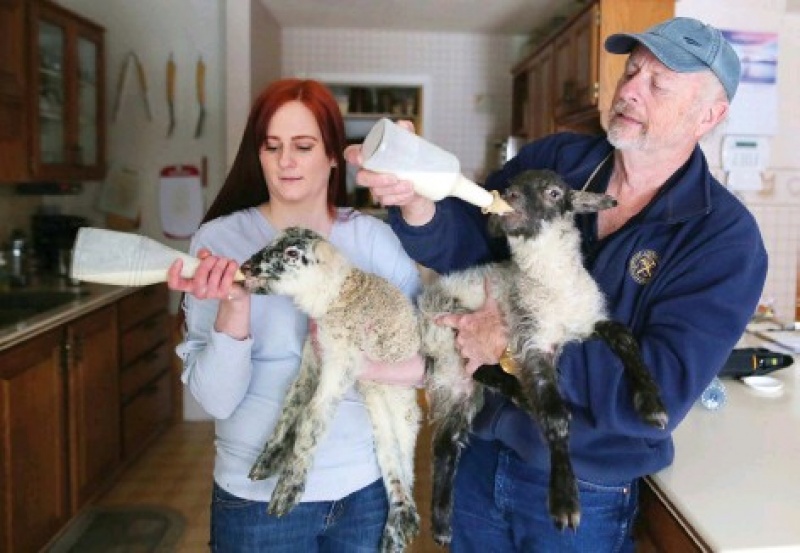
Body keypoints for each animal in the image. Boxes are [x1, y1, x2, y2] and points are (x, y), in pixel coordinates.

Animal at [239, 227, 421, 553]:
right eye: (271, 243)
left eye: (292, 254)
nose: (246, 266)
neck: (337, 296)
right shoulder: (313, 357)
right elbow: (292, 405)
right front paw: (267, 459)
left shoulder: (341, 362)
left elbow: (312, 417)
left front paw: (287, 490)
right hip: (378, 412)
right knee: (390, 459)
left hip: (402, 407)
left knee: (406, 463)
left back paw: (403, 525)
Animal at [418, 169, 669, 545]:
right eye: (510, 186)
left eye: (553, 193)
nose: (509, 196)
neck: (553, 285)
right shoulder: (534, 343)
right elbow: (555, 416)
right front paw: (564, 499)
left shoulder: (587, 323)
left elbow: (626, 338)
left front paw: (651, 404)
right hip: (450, 326)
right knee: (478, 375)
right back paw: (518, 393)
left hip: (460, 392)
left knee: (446, 445)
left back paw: (442, 522)